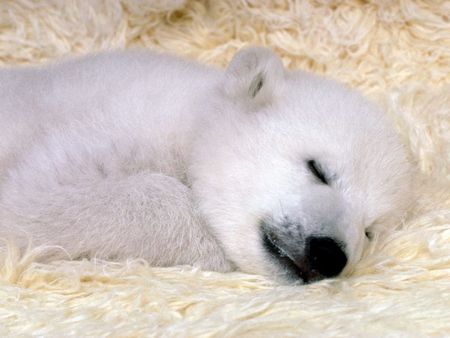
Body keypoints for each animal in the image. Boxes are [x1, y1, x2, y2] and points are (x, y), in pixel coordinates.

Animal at [0, 46, 412, 282]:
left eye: (370, 230)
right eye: (318, 169)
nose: (328, 254)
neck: (192, 114)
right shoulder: (114, 124)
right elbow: (33, 197)